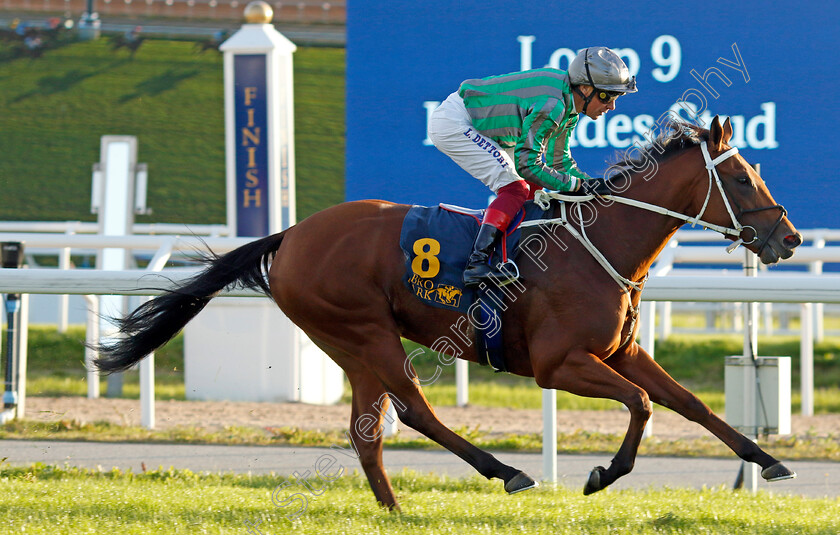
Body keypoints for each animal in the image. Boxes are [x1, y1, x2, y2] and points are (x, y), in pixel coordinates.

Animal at [92, 117, 800, 510]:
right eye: (741, 180)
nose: (788, 238)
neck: (596, 244)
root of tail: (290, 235)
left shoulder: (619, 351)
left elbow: (690, 403)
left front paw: (767, 461)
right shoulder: (559, 365)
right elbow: (643, 405)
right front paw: (602, 474)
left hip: (354, 344)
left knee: (368, 432)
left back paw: (396, 511)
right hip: (363, 330)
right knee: (413, 412)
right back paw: (506, 471)